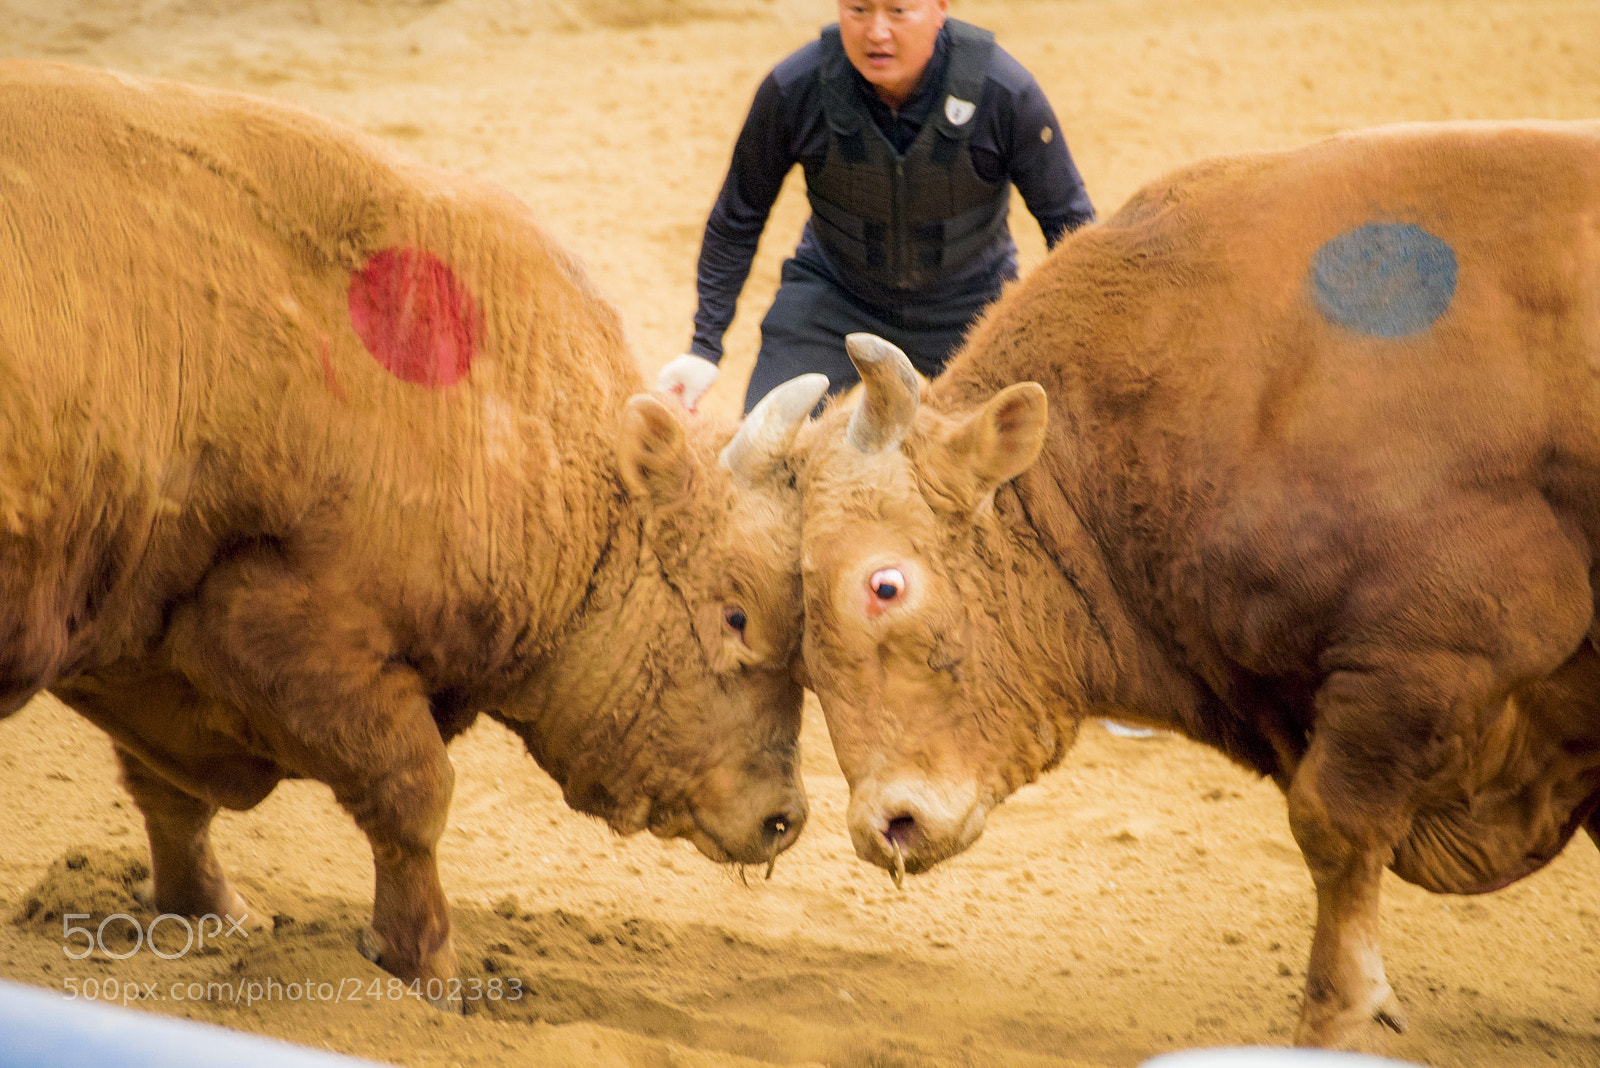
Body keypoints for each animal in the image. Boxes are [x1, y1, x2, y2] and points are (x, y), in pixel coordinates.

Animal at [0, 59, 828, 991]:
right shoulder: (301, 639)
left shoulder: (151, 647)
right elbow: (412, 799)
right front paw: (427, 967)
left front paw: (205, 908)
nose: (785, 816)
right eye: (737, 614)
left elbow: (170, 795)